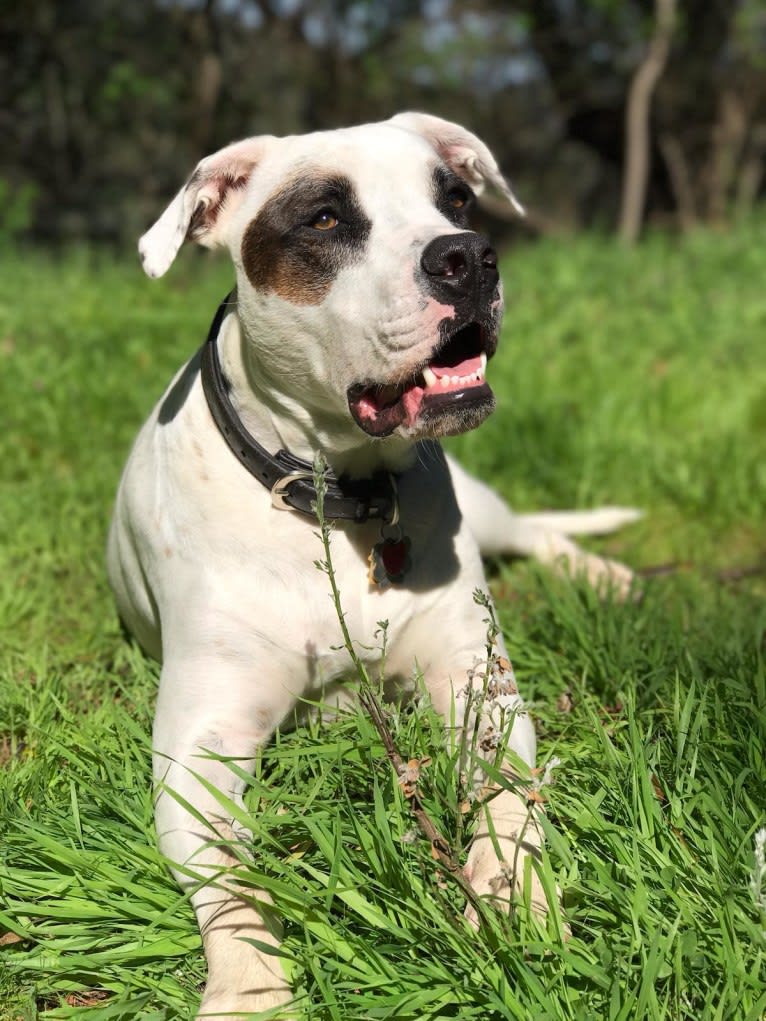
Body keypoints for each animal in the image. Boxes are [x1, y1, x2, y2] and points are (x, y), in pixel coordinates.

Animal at [106, 115, 637, 1016]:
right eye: (324, 219)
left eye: (454, 197)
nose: (468, 255)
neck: (338, 498)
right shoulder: (198, 747)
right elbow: (233, 883)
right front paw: (249, 984)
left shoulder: (478, 685)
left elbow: (507, 800)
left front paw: (516, 901)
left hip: (484, 508)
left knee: (535, 532)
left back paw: (604, 576)